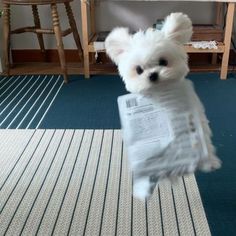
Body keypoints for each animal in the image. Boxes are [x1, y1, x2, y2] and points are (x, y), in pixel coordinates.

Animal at [105, 12, 221, 199]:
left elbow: (202, 140)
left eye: (163, 62)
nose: (152, 75)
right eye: (139, 70)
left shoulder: (195, 118)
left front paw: (209, 161)